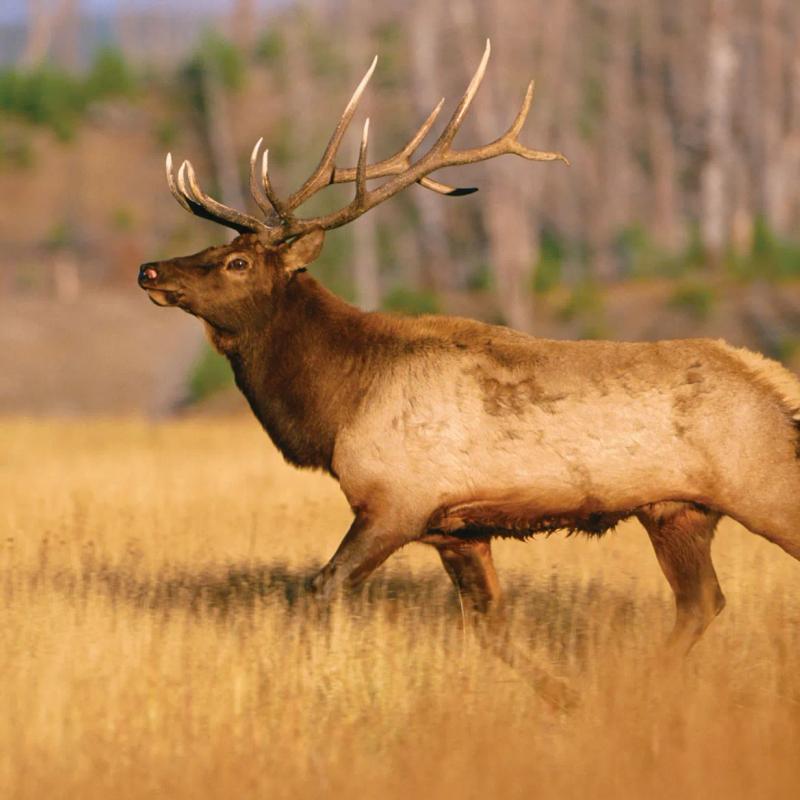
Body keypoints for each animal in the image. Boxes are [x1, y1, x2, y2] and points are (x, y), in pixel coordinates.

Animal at [139, 40, 800, 707]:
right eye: (209, 248)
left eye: (237, 261)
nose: (149, 270)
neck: (337, 406)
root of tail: (779, 388)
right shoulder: (457, 528)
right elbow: (488, 626)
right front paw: (566, 698)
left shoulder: (396, 501)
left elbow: (322, 589)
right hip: (676, 511)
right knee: (701, 603)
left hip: (762, 485)